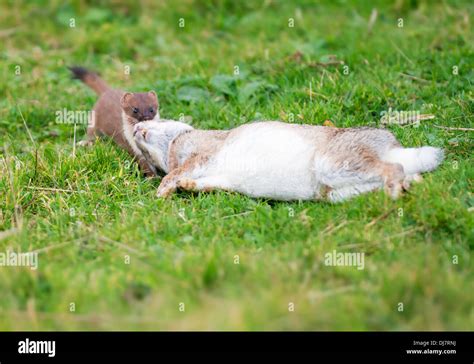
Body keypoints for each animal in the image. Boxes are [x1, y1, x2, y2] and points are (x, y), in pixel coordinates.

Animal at [131, 121, 442, 203]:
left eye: (160, 120)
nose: (136, 129)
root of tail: (392, 148)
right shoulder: (218, 176)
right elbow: (203, 181)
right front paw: (184, 186)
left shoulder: (201, 154)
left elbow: (182, 169)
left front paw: (162, 190)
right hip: (339, 191)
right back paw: (407, 187)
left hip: (335, 164)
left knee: (394, 168)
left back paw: (395, 192)